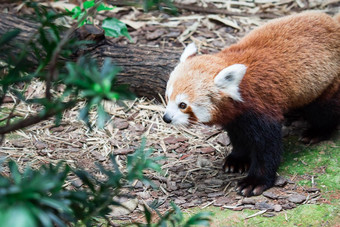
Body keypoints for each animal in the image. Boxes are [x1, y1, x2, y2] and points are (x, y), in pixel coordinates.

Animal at [162, 12, 340, 197]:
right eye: (167, 97)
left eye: (183, 105)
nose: (166, 118)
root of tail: (334, 24)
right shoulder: (235, 116)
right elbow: (239, 136)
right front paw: (237, 159)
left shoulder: (262, 104)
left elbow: (266, 146)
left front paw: (255, 181)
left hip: (327, 82)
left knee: (324, 110)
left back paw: (317, 132)